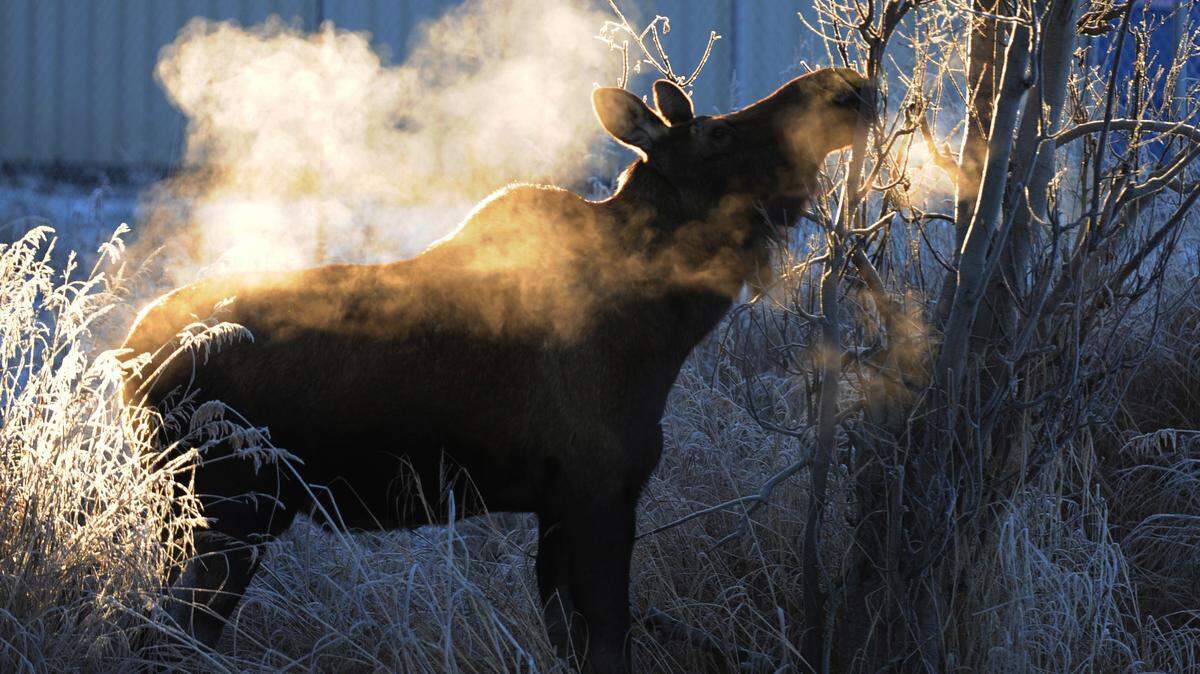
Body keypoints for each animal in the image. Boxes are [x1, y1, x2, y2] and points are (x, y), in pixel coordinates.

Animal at [123, 68, 872, 673]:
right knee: (165, 639)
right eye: (718, 132)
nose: (845, 87)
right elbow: (610, 640)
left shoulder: (559, 504)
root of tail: (131, 362)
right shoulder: (599, 486)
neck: (666, 325)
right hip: (231, 506)